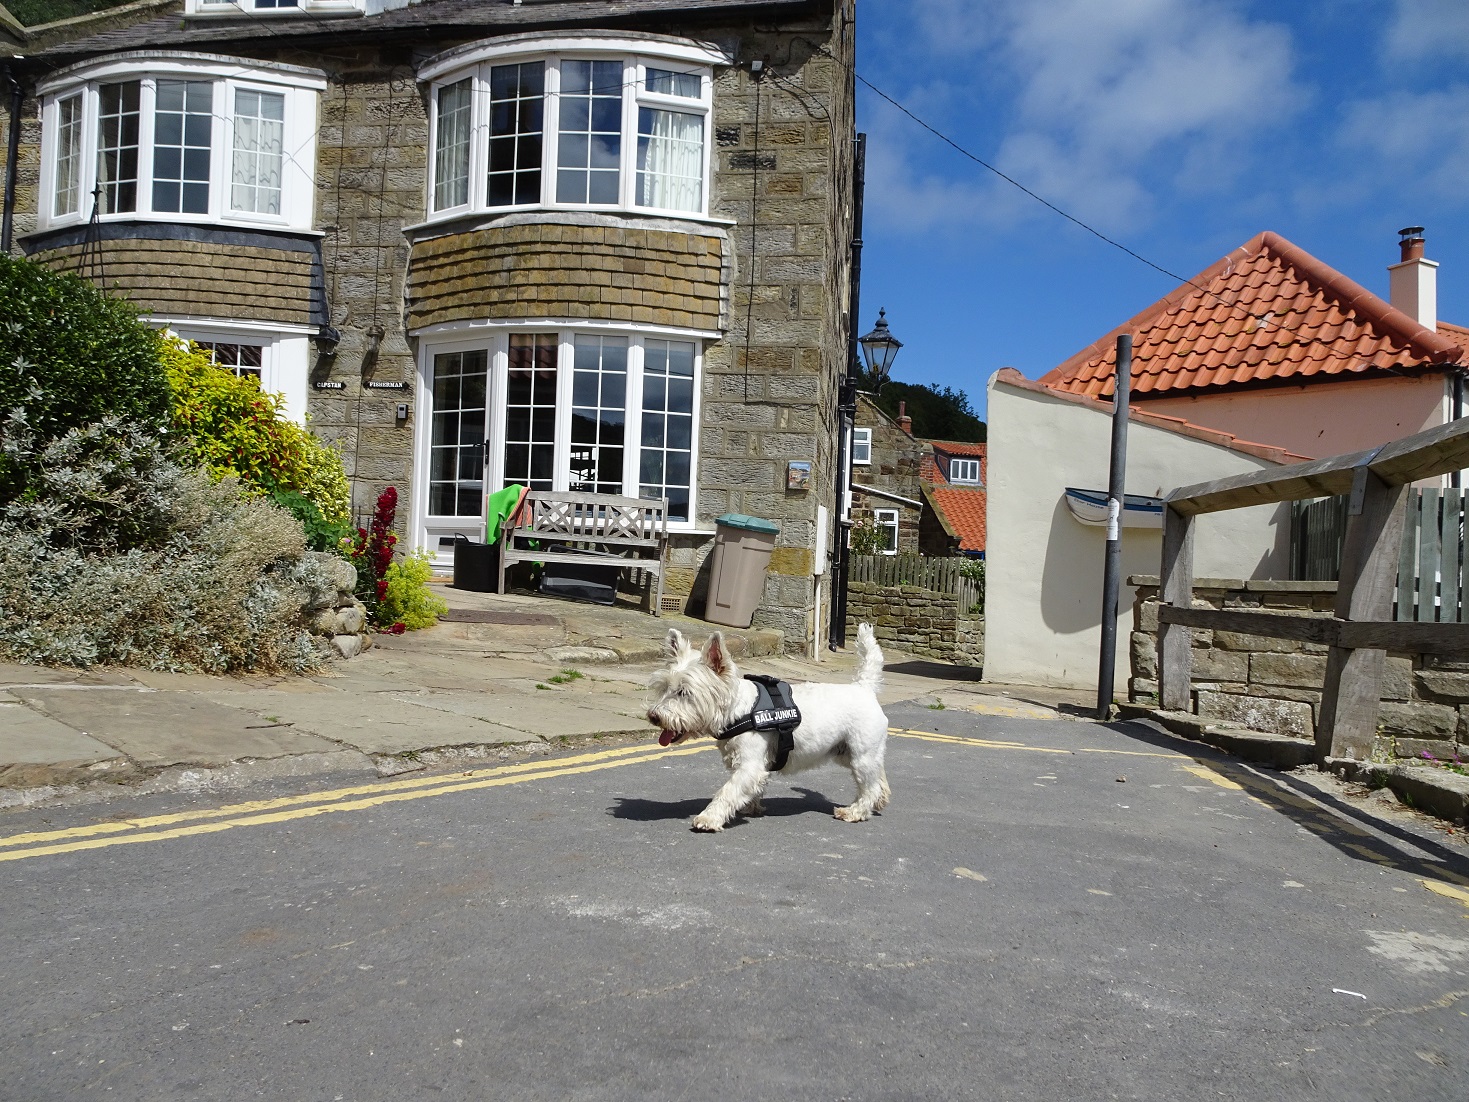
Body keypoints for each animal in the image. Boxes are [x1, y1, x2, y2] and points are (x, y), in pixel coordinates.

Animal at [649, 625, 887, 834]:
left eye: (684, 692)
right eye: (664, 687)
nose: (654, 716)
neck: (740, 710)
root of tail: (864, 688)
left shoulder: (750, 764)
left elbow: (728, 790)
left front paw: (709, 818)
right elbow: (746, 789)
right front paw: (749, 806)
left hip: (860, 753)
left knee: (869, 786)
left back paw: (854, 812)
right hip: (847, 751)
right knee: (878, 774)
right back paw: (882, 797)